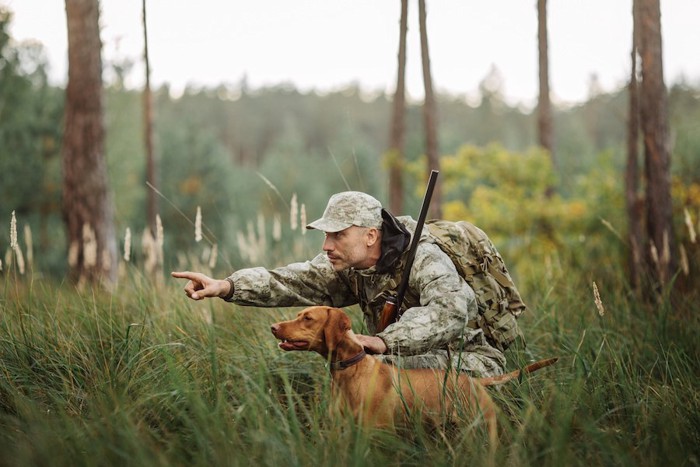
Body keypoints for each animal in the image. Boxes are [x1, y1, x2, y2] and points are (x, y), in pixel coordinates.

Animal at [270, 308, 556, 442]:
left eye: (307, 318)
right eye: (298, 315)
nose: (273, 327)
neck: (351, 372)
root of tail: (474, 381)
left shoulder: (379, 434)